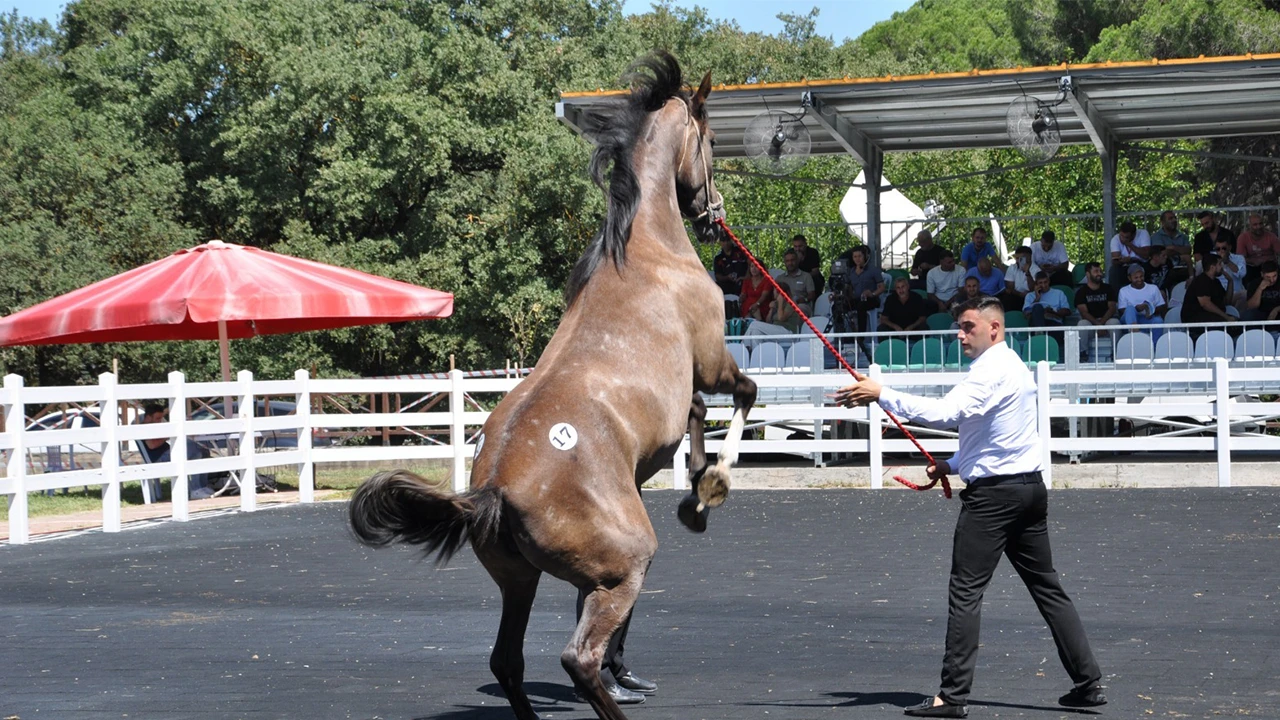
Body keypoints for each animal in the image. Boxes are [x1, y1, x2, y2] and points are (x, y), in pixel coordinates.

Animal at [348, 51, 756, 720]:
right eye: (714, 141)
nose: (714, 217)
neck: (645, 248)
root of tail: (488, 492)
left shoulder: (682, 400)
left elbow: (698, 416)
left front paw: (696, 489)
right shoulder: (714, 360)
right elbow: (743, 397)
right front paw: (710, 486)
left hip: (523, 580)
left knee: (508, 662)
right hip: (622, 566)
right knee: (578, 657)